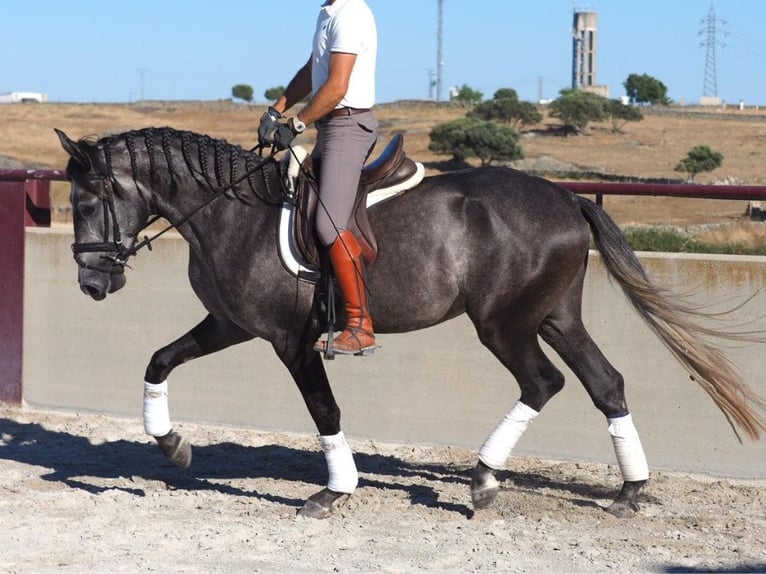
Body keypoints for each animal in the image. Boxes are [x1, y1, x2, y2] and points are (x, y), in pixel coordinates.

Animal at [55, 127, 766, 520]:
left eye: (86, 202)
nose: (91, 284)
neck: (232, 212)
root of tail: (567, 198)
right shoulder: (231, 322)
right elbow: (158, 360)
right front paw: (172, 444)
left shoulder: (289, 340)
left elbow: (325, 411)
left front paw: (334, 492)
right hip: (556, 316)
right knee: (606, 383)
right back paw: (629, 489)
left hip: (503, 323)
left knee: (543, 384)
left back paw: (484, 478)